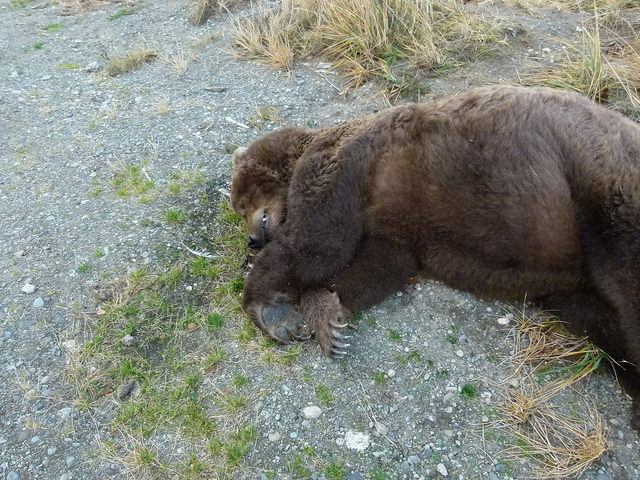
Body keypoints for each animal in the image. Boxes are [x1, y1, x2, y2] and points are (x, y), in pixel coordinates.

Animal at [230, 86, 640, 424]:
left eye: (242, 201)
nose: (252, 238)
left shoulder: (344, 163)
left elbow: (318, 244)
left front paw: (270, 310)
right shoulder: (397, 231)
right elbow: (377, 269)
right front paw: (328, 321)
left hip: (597, 187)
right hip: (575, 281)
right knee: (600, 323)